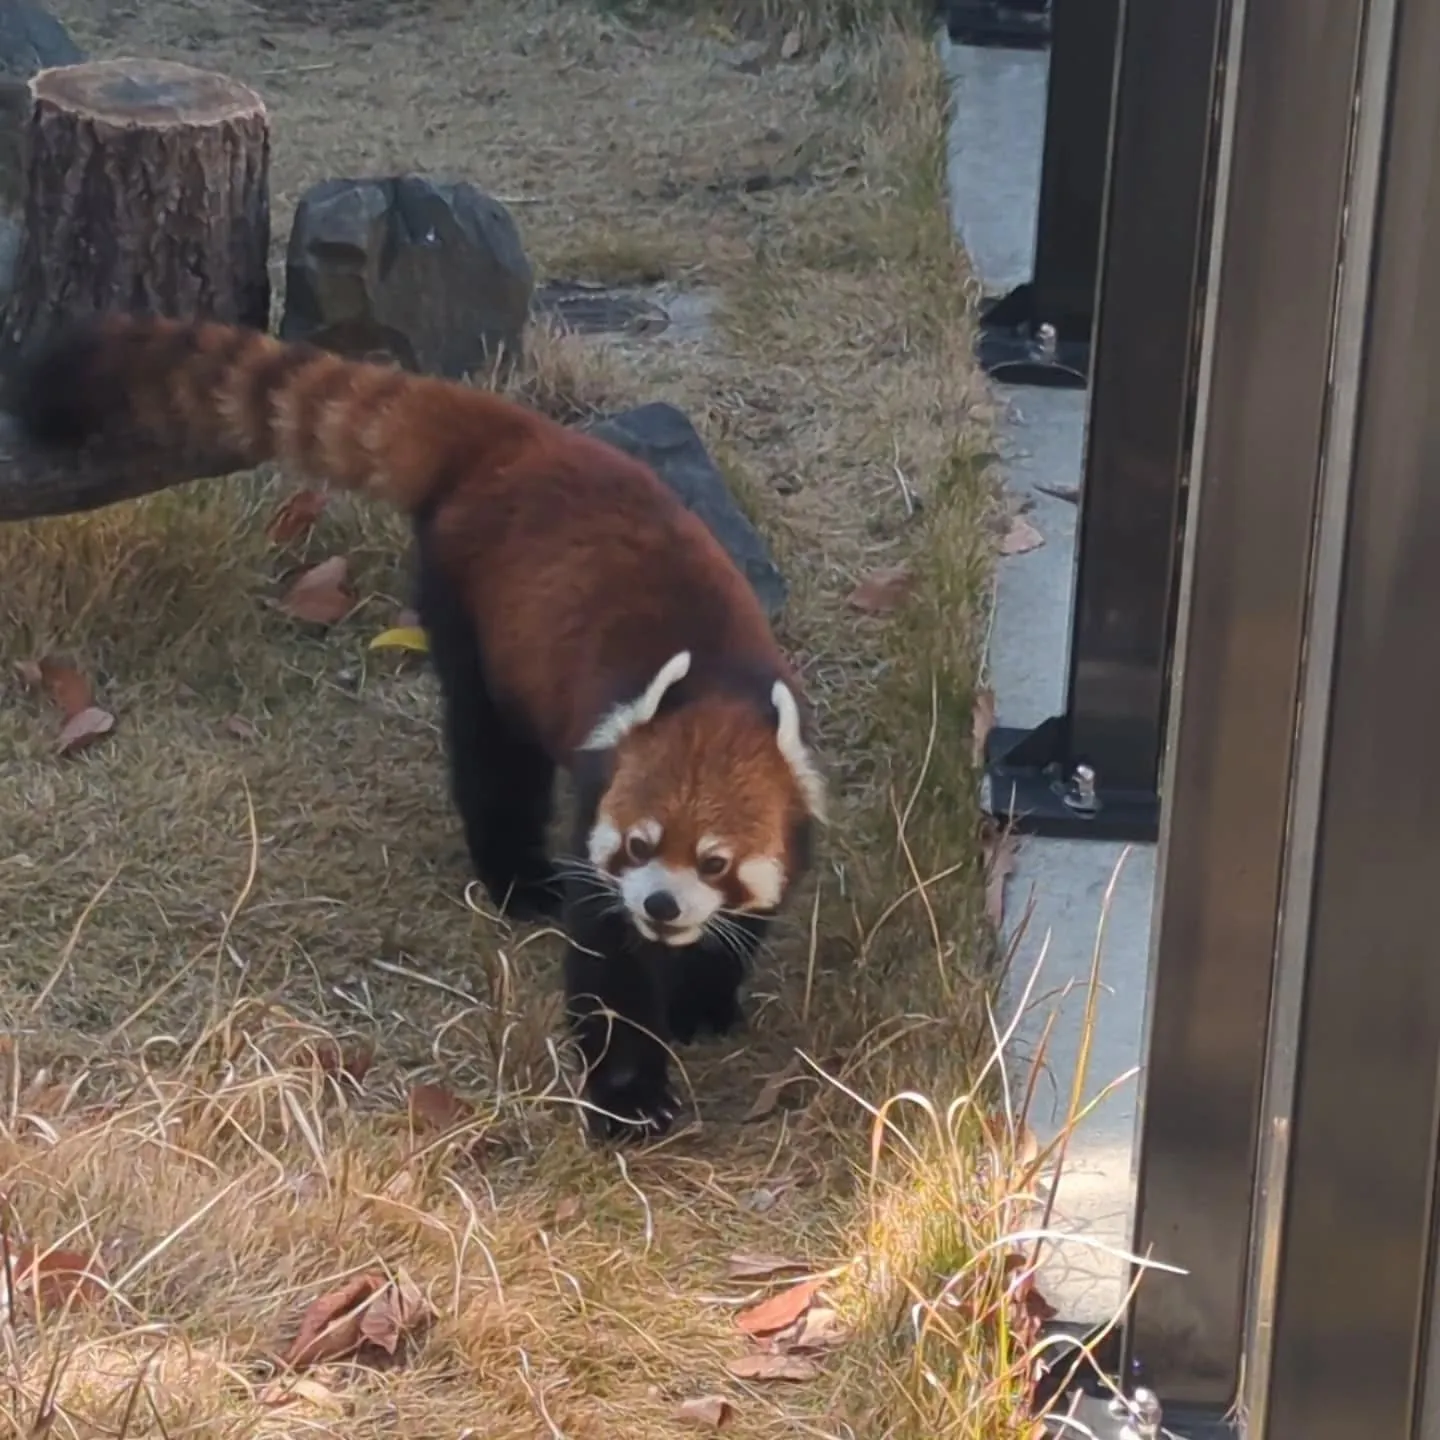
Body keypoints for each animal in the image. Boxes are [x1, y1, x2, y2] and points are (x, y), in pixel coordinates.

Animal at [8, 315, 835, 1134]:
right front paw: (630, 1095)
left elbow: (746, 923)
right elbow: (610, 965)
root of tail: (520, 436)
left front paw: (704, 1000)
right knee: (493, 761)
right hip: (469, 610)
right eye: (639, 845)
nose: (660, 905)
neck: (717, 689)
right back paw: (517, 880)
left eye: (715, 862)